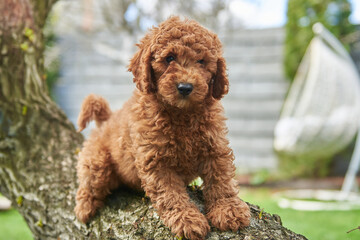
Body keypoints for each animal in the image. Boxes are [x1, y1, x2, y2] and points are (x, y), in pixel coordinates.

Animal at [75, 16, 250, 240]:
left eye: (202, 61)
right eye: (169, 58)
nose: (185, 87)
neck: (181, 114)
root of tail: (107, 119)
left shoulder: (215, 147)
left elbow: (221, 179)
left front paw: (228, 209)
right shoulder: (156, 161)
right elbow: (171, 195)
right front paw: (187, 219)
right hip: (97, 160)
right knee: (89, 183)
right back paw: (84, 208)